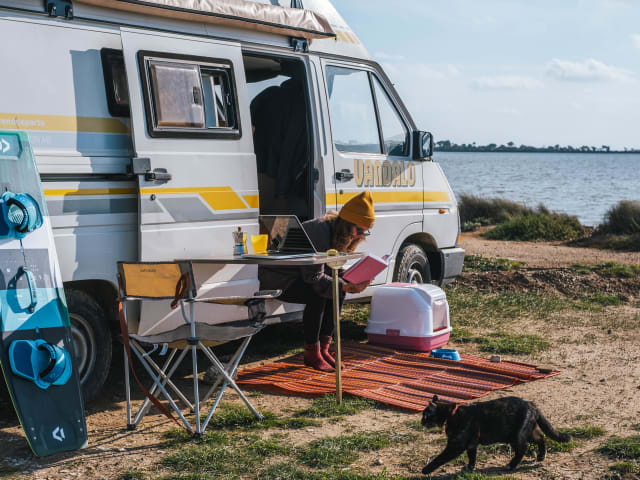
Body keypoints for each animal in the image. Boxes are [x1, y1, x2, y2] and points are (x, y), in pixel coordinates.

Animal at [422, 396, 568, 474]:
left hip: (516, 436)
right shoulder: (471, 444)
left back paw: (511, 465)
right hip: (529, 431)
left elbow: (440, 458)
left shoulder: (456, 445)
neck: (452, 415)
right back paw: (541, 456)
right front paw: (470, 468)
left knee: (523, 448)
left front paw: (426, 469)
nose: (421, 421)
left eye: (426, 415)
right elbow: (472, 457)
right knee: (541, 438)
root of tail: (532, 404)